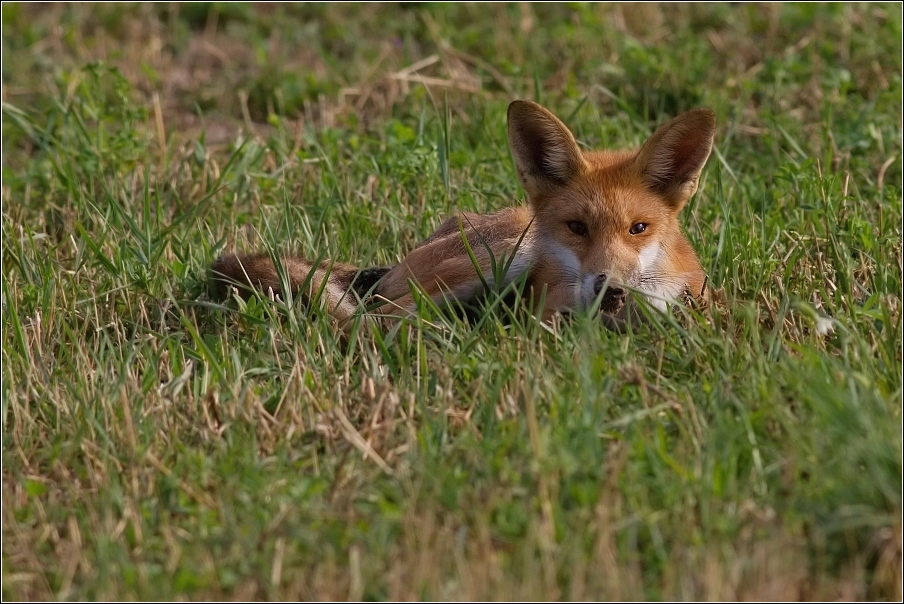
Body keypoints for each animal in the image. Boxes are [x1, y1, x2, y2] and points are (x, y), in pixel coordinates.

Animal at [212, 100, 712, 326]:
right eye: (576, 228)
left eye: (638, 229)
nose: (611, 290)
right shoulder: (548, 313)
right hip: (509, 254)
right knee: (379, 318)